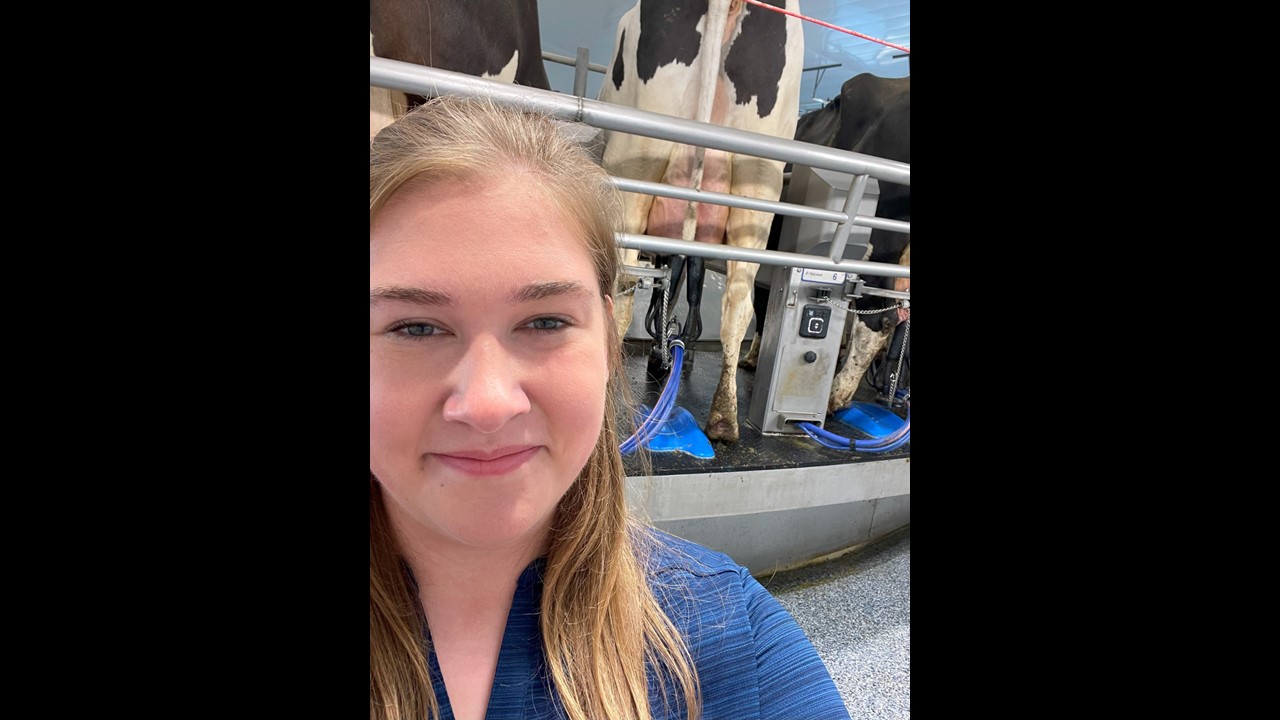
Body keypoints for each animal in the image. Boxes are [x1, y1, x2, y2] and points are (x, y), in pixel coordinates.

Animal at [596, 0, 798, 440]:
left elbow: (666, 283)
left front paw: (664, 353)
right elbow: (686, 280)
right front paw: (672, 350)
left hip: (634, 161)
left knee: (623, 284)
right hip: (758, 186)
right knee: (738, 301)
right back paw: (724, 418)